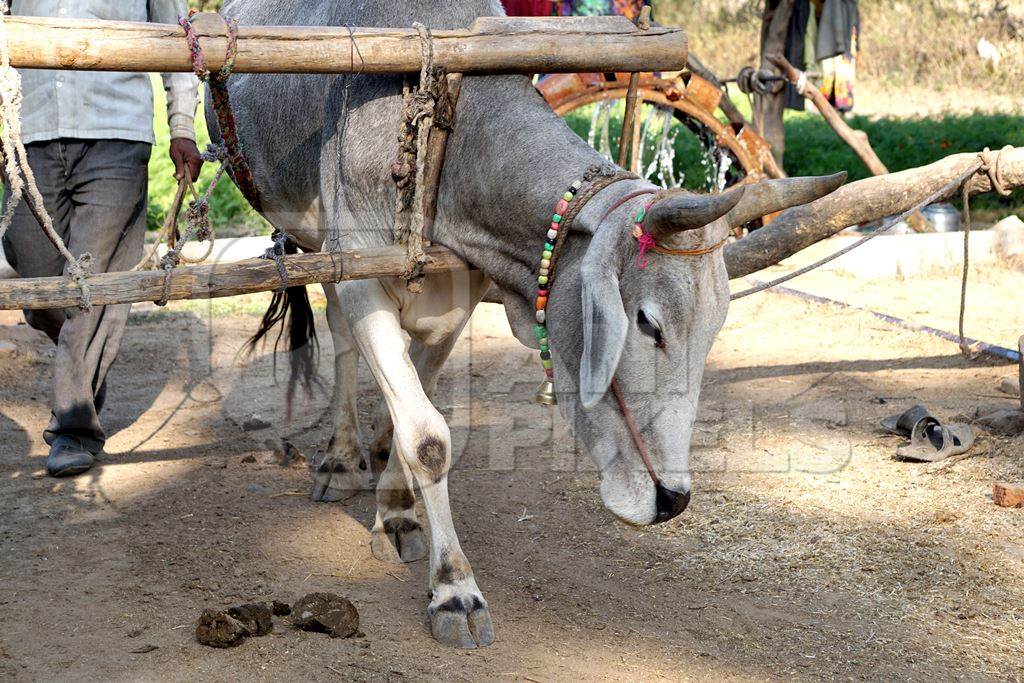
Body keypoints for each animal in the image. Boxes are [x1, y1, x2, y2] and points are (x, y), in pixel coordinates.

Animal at [218, 0, 847, 651]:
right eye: (647, 323)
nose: (672, 499)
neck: (448, 133)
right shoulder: (361, 273)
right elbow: (428, 437)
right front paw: (454, 589)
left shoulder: (463, 289)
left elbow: (415, 407)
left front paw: (396, 510)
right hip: (316, 245)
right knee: (340, 336)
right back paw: (340, 460)